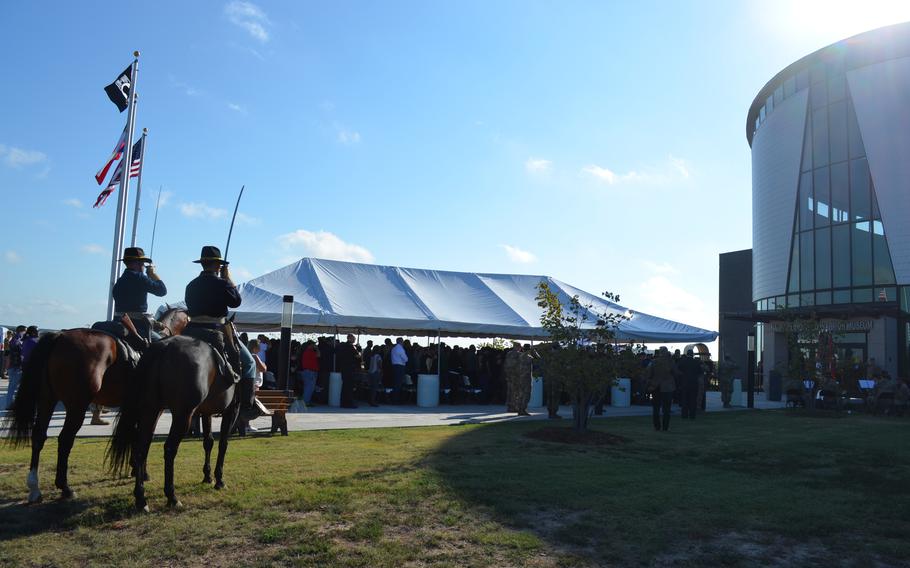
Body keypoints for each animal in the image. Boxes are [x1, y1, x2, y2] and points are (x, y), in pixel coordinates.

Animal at [0, 308, 189, 504]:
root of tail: (60, 335)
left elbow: (135, 436)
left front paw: (134, 469)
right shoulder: (153, 408)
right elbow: (144, 438)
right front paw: (141, 472)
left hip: (47, 399)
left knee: (38, 436)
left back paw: (34, 487)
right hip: (77, 405)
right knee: (65, 439)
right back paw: (65, 487)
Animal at [106, 332, 240, 510]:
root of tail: (164, 346)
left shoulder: (206, 413)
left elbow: (208, 442)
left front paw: (207, 476)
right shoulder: (232, 410)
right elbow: (223, 444)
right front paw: (219, 480)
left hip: (151, 410)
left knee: (141, 448)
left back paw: (141, 498)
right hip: (182, 416)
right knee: (169, 449)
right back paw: (172, 496)